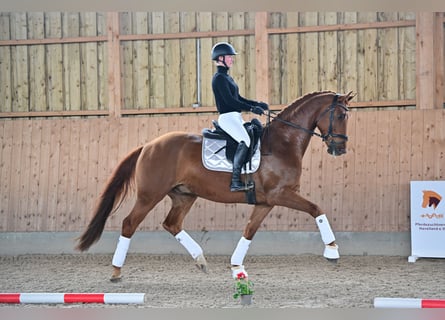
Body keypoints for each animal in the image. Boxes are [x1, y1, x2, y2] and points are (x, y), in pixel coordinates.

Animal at [76, 90, 354, 282]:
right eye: (340, 115)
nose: (339, 149)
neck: (283, 143)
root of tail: (148, 145)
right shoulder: (282, 195)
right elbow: (317, 209)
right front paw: (332, 251)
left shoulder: (266, 202)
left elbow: (249, 231)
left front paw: (237, 266)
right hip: (149, 195)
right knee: (129, 224)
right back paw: (116, 271)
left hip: (184, 196)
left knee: (171, 224)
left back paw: (200, 260)